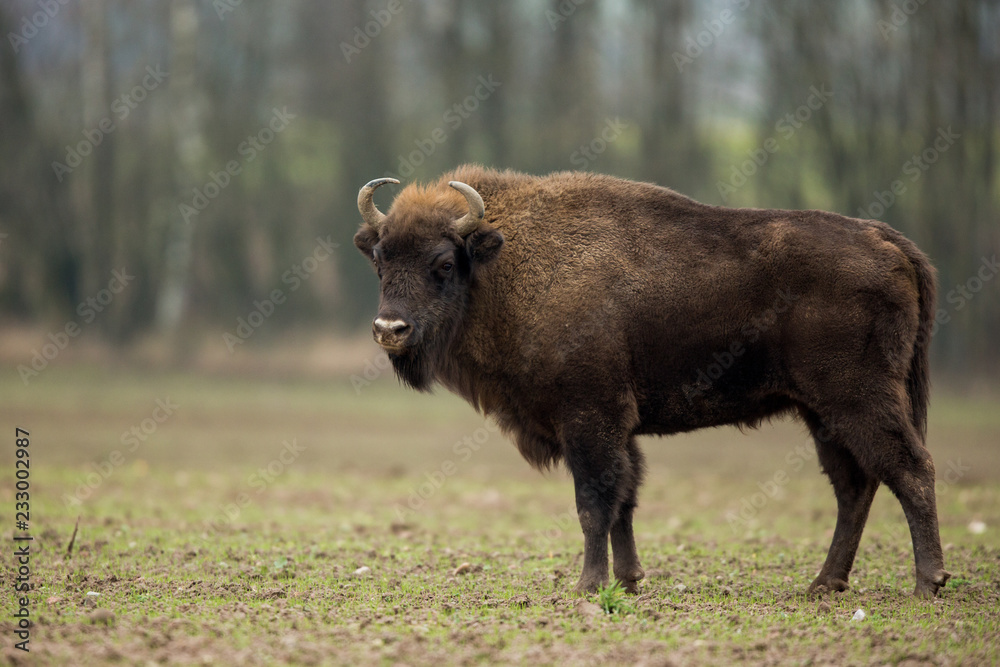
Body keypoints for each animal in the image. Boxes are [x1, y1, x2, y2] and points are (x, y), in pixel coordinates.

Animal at [353, 165, 950, 598]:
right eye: (380, 259)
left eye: (442, 263)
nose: (389, 330)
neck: (502, 264)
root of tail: (886, 240)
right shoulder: (618, 430)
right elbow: (626, 498)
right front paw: (629, 580)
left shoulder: (589, 418)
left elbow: (594, 501)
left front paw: (588, 586)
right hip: (821, 413)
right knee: (855, 485)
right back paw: (825, 584)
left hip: (858, 399)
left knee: (909, 469)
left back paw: (928, 583)